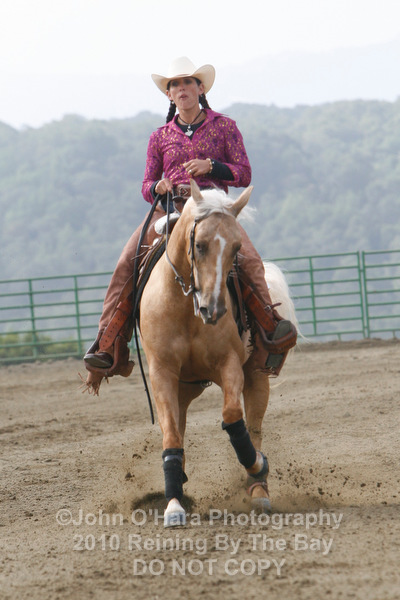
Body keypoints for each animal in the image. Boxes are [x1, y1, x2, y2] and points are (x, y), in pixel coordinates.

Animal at [139, 180, 296, 527]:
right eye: (199, 245)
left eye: (237, 248)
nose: (214, 308)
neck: (185, 308)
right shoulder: (162, 373)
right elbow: (171, 436)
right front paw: (173, 505)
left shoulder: (229, 366)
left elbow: (233, 418)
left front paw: (258, 464)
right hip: (184, 388)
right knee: (179, 426)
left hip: (256, 376)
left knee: (254, 426)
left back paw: (259, 490)